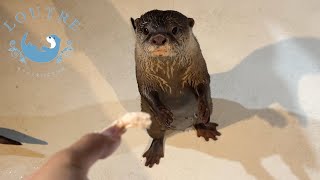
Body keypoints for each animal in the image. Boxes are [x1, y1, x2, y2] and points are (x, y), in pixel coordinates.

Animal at [130, 9, 220, 167]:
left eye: (174, 29)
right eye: (146, 30)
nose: (159, 38)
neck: (169, 71)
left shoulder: (198, 68)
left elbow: (203, 82)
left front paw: (203, 107)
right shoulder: (143, 76)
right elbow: (146, 91)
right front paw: (163, 114)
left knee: (200, 122)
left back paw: (205, 128)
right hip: (152, 124)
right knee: (157, 136)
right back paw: (154, 152)